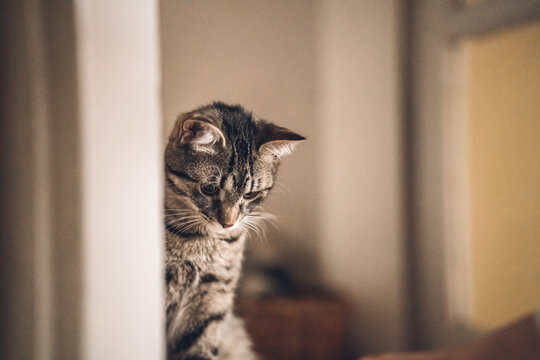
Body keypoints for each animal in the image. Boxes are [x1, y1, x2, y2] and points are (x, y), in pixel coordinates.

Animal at [162, 102, 306, 360]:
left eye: (250, 194)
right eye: (209, 188)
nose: (228, 223)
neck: (203, 242)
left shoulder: (212, 299)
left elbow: (200, 348)